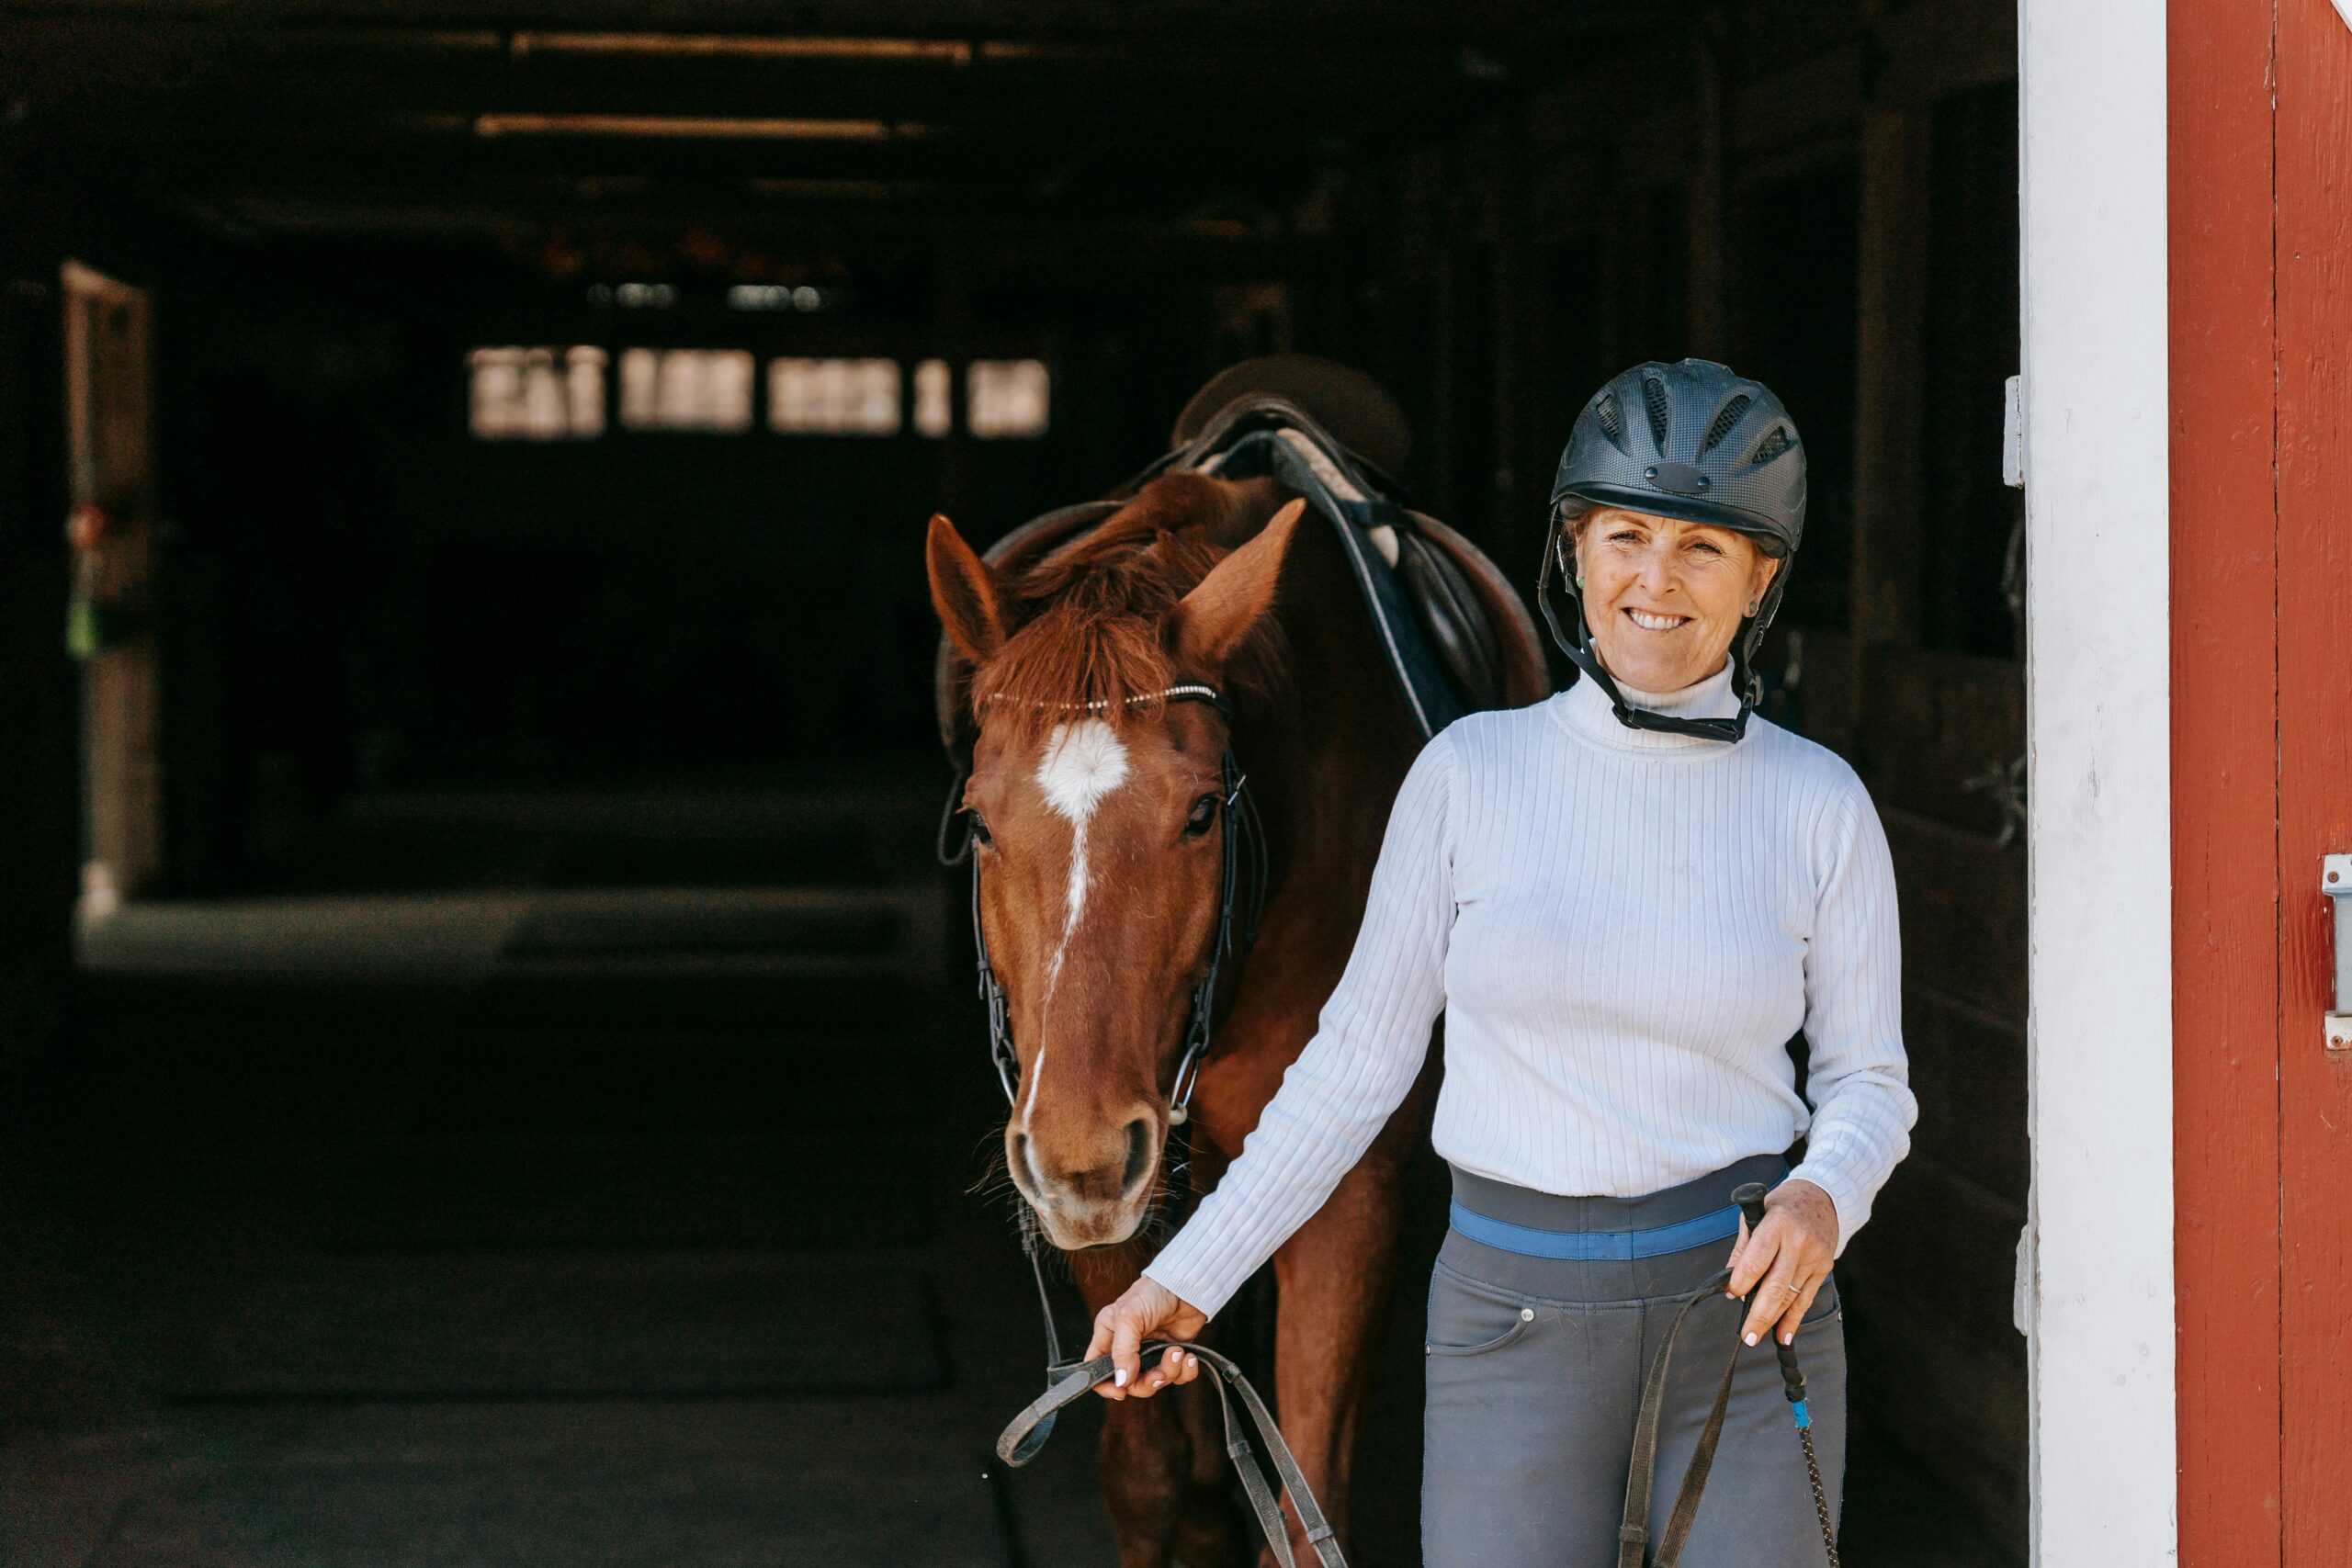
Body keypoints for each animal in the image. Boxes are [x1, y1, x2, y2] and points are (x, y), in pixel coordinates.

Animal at [926, 472, 1514, 1561]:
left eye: (1201, 813)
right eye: (978, 822)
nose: (1078, 1155)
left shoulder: (1346, 1190)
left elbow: (1304, 1500)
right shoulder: (1107, 1195)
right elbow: (1152, 1480)